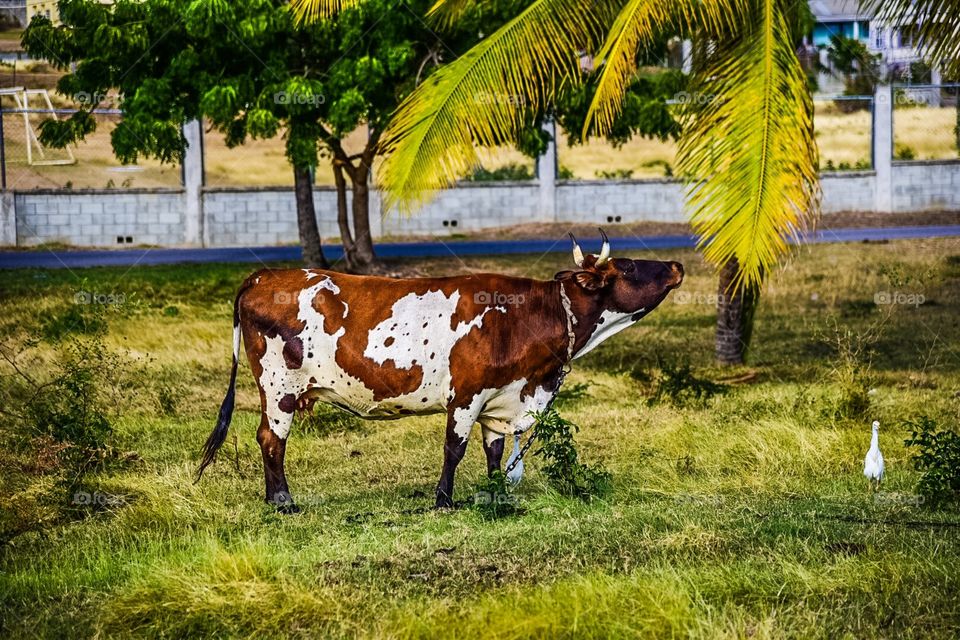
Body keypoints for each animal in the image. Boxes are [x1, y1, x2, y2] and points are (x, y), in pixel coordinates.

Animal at [196, 233, 683, 512]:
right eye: (631, 266)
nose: (676, 265)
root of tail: (262, 276)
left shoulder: (499, 400)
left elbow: (493, 452)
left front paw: (496, 494)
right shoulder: (466, 395)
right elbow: (455, 449)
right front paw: (443, 500)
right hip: (279, 386)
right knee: (271, 439)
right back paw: (282, 502)